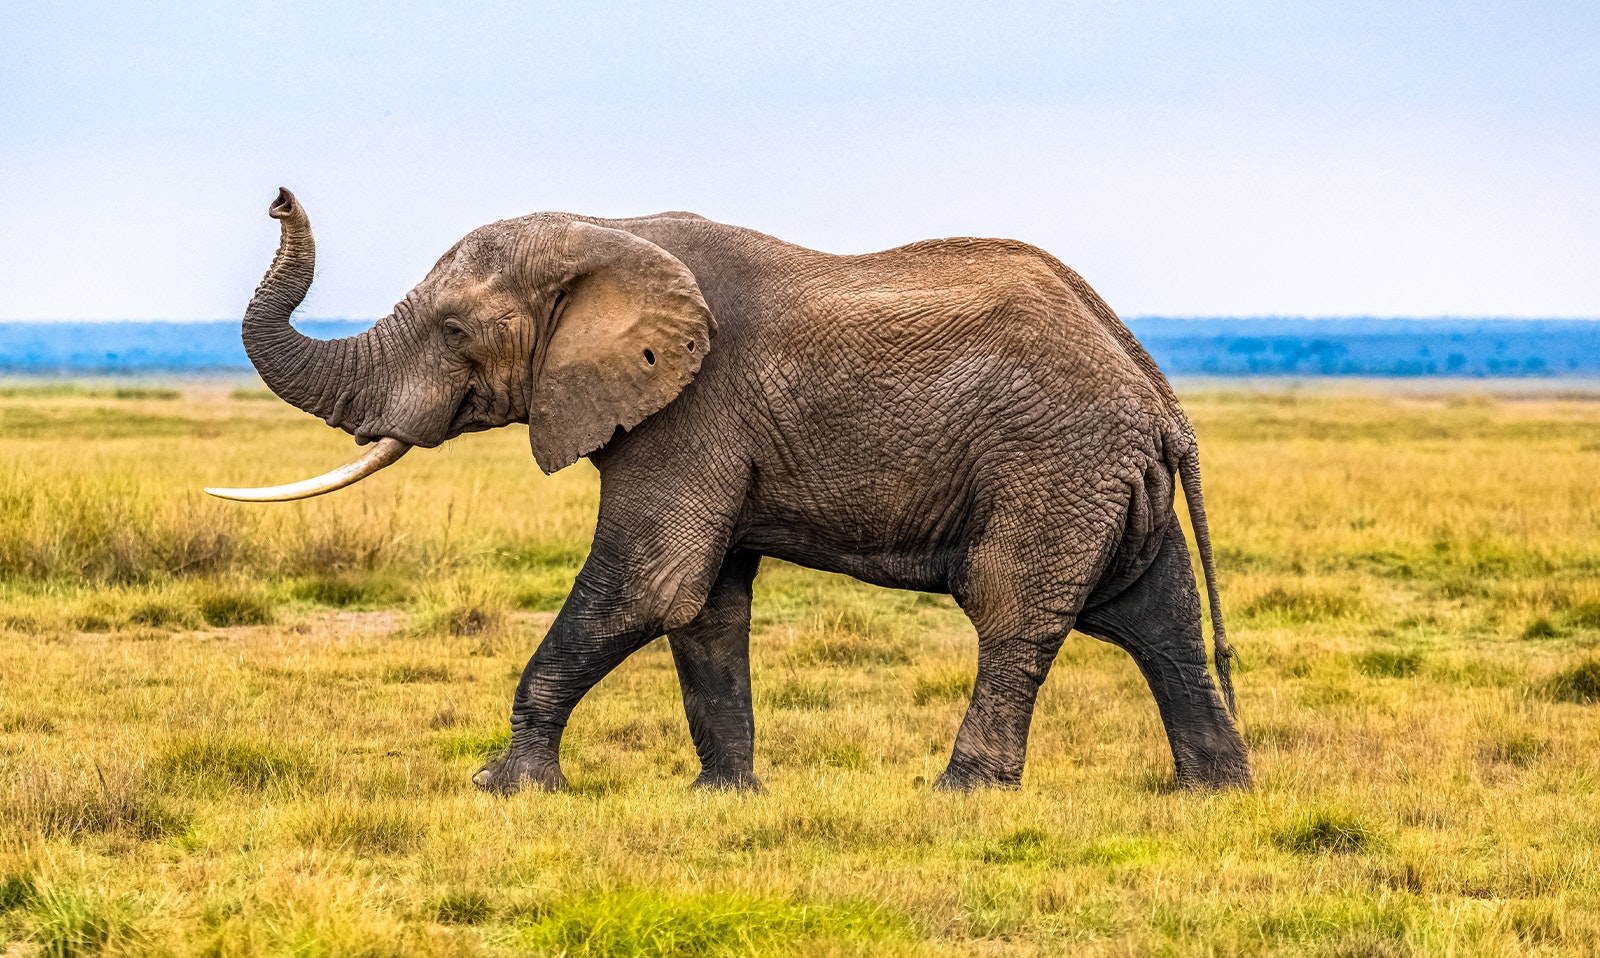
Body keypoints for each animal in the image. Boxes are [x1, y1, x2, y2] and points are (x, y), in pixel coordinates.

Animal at [206, 187, 1248, 793]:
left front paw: (505, 788)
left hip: (1051, 467)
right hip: (1103, 480)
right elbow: (704, 605)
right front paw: (725, 800)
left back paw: (961, 794)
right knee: (1157, 621)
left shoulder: (692, 411)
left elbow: (650, 583)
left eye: (457, 332)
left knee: (1014, 612)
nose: (278, 198)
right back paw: (1213, 793)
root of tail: (1160, 397)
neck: (611, 231)